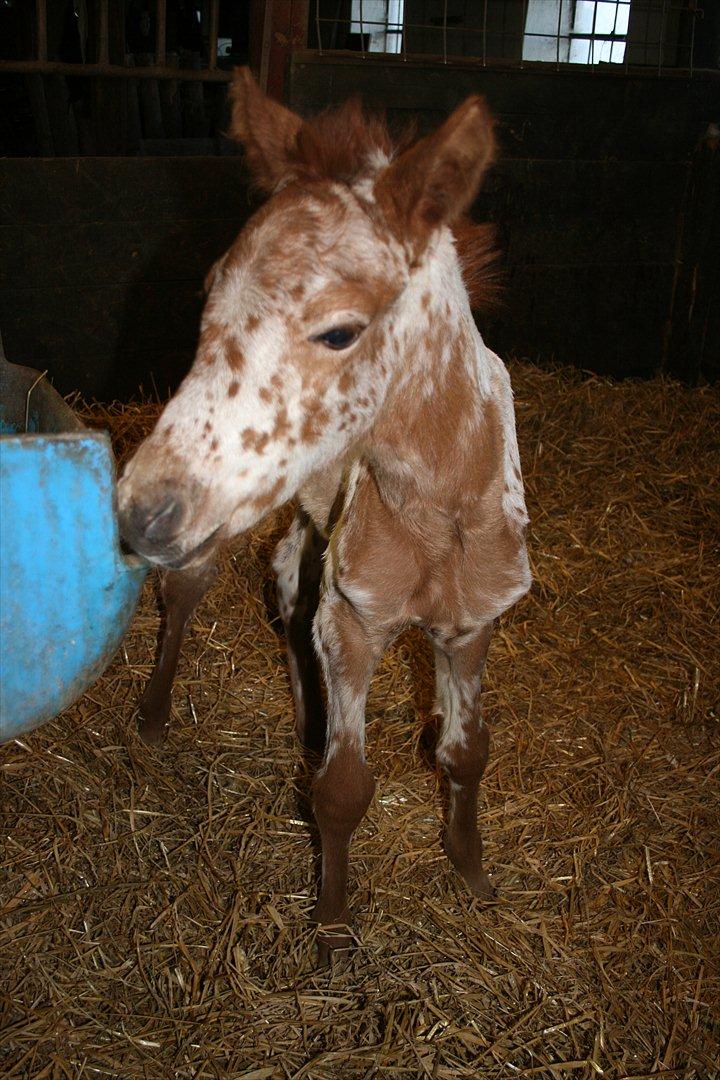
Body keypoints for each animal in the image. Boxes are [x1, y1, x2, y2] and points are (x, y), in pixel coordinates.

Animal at [118, 68, 531, 956]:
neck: (437, 513)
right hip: (231, 518)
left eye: (340, 331)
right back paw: (158, 713)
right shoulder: (356, 621)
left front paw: (472, 870)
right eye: (207, 297)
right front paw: (336, 925)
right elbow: (344, 788)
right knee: (194, 589)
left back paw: (304, 719)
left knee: (285, 584)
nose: (138, 512)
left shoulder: (475, 622)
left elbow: (467, 751)